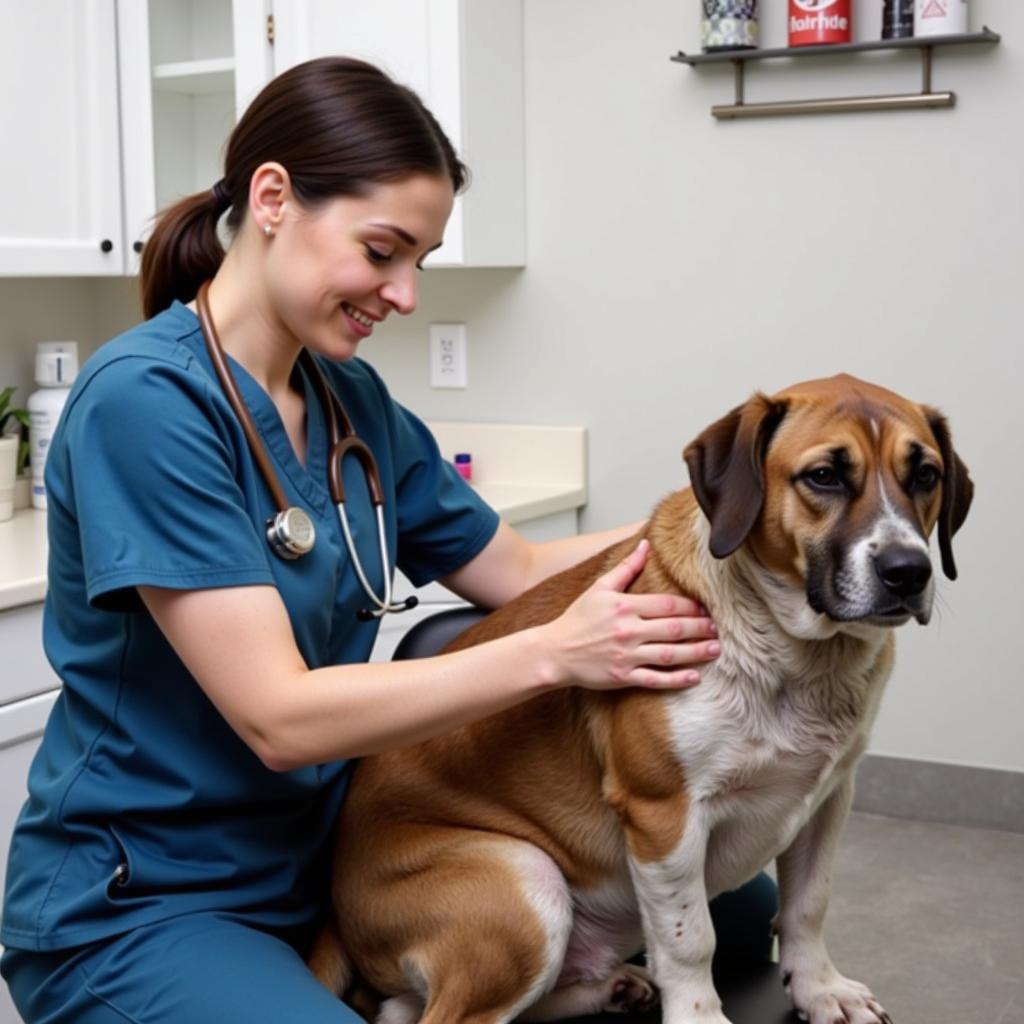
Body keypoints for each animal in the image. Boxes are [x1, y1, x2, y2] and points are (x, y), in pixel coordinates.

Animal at [307, 374, 970, 1024]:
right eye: (825, 476)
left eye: (925, 475)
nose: (908, 571)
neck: (793, 655)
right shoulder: (663, 814)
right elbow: (690, 939)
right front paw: (700, 1017)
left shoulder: (829, 798)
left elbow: (809, 903)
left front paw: (820, 989)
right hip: (526, 882)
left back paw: (612, 987)